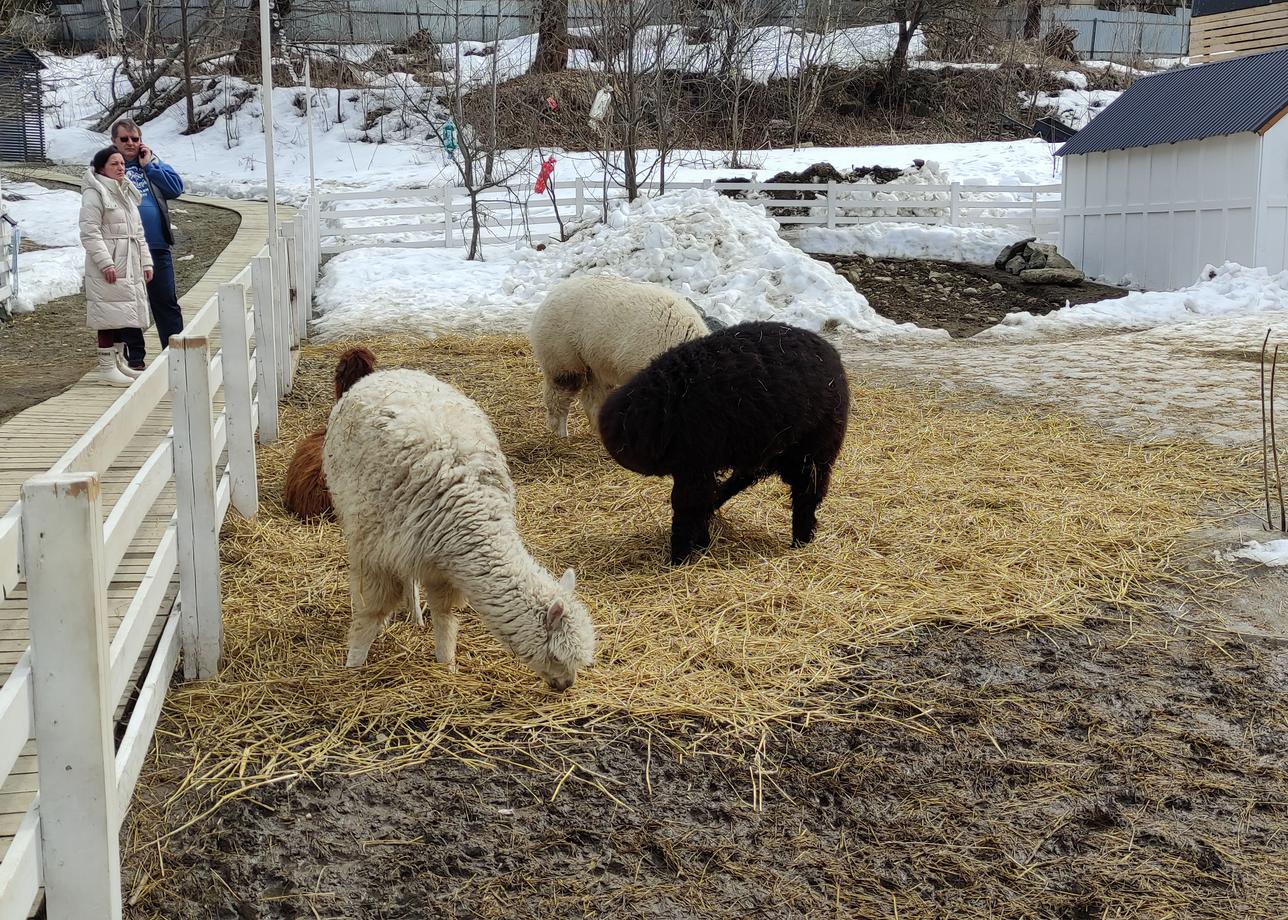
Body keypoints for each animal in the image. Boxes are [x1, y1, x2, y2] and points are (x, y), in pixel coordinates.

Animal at [322, 365, 592, 690]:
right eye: (556, 654)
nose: (565, 685)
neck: (466, 509)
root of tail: (390, 371)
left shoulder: (442, 567)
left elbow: (445, 617)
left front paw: (447, 665)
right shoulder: (374, 552)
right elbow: (368, 613)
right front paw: (353, 665)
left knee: (410, 577)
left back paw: (416, 616)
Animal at [522, 271, 710, 438]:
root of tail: (551, 294)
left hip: (595, 359)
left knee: (592, 397)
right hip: (561, 352)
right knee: (560, 391)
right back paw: (561, 434)